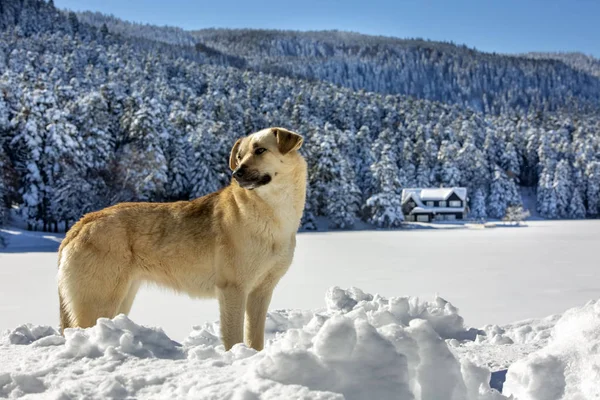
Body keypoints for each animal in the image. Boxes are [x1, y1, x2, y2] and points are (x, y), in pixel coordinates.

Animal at [56, 128, 308, 350]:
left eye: (260, 150)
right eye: (239, 156)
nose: (236, 174)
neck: (273, 213)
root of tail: (81, 223)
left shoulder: (261, 292)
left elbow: (255, 340)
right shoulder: (233, 289)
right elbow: (234, 339)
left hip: (121, 299)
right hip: (98, 303)